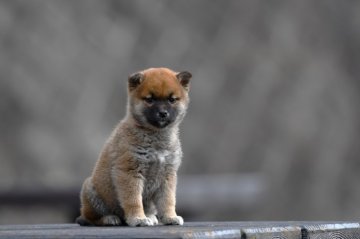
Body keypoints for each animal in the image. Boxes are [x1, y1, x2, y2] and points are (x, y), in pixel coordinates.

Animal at [76, 67, 191, 226]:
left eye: (172, 99)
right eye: (150, 99)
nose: (163, 113)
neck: (156, 138)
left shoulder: (168, 175)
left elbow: (167, 201)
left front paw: (170, 217)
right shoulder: (130, 172)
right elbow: (134, 201)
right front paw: (138, 219)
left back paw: (150, 216)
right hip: (91, 193)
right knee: (90, 217)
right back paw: (109, 218)